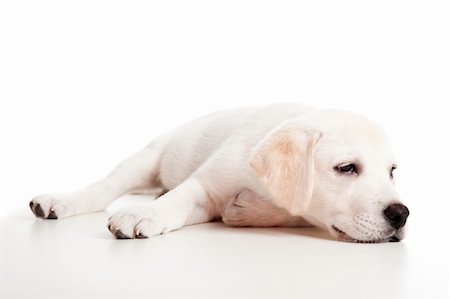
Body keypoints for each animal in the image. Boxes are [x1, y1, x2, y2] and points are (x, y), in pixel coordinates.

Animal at [27, 103, 408, 244]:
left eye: (392, 171)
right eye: (346, 168)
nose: (400, 214)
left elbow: (292, 212)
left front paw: (245, 211)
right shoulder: (207, 184)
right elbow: (179, 198)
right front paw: (145, 213)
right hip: (150, 156)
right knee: (104, 188)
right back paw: (59, 201)